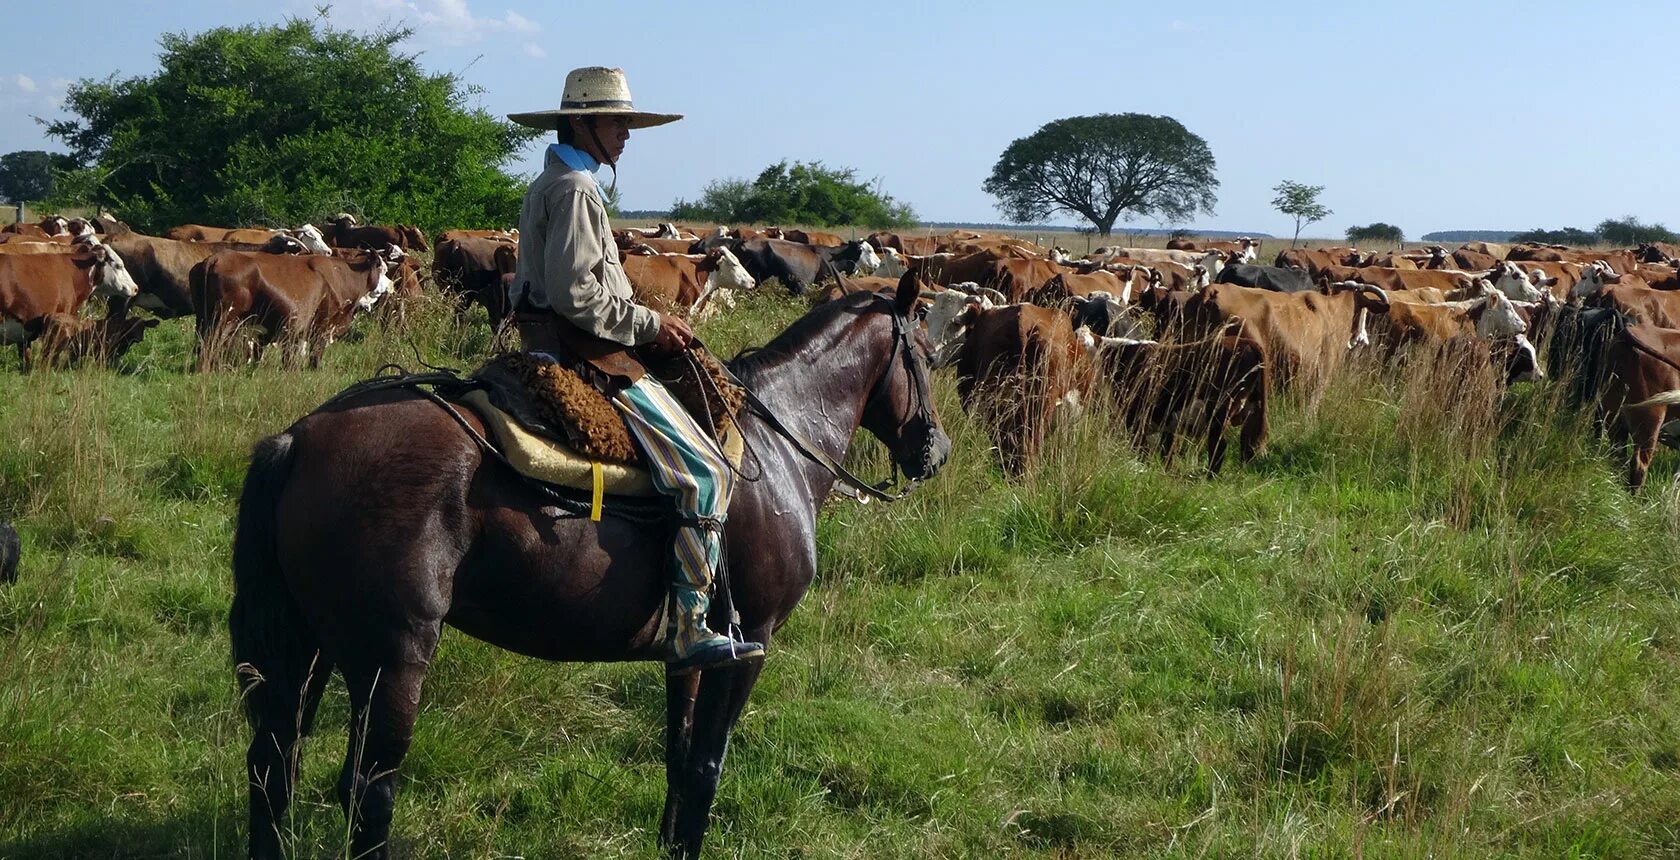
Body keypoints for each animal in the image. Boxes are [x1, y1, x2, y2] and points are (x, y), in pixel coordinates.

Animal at [230, 277, 954, 860]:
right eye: (923, 354)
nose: (937, 450)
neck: (776, 450)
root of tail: (299, 438)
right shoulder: (751, 643)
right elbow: (707, 766)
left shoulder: (692, 651)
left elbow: (679, 756)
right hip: (392, 658)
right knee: (367, 790)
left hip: (311, 645)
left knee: (274, 765)